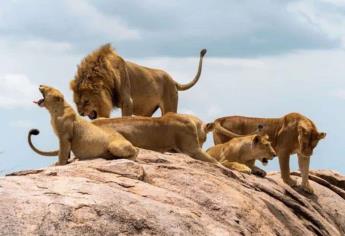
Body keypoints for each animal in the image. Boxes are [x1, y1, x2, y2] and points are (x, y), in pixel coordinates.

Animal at [68, 43, 206, 119]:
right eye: (76, 102)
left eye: (86, 101)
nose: (80, 113)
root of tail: (173, 81)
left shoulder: (128, 101)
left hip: (169, 106)